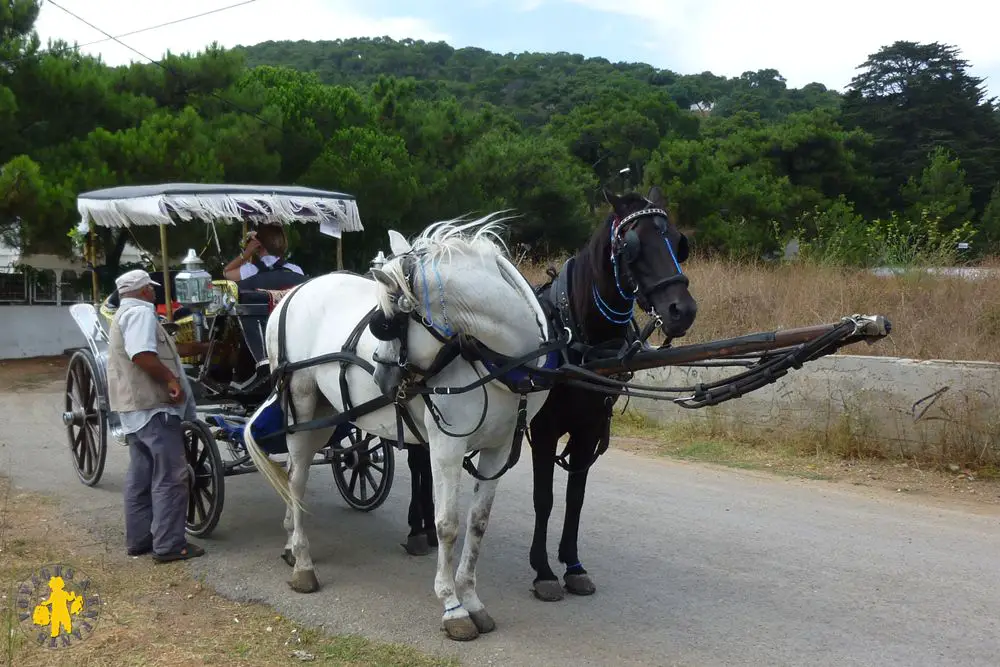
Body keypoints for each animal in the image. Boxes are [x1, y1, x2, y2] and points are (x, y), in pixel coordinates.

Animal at [243, 215, 556, 640]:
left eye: (386, 322)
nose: (381, 375)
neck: (497, 360)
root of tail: (292, 293)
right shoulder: (446, 447)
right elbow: (446, 524)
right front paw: (452, 605)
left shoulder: (499, 449)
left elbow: (477, 524)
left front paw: (472, 599)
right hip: (302, 406)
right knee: (296, 481)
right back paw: (304, 564)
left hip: (328, 414)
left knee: (295, 473)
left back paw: (292, 540)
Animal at [396, 187, 696, 604]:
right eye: (632, 244)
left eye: (677, 241)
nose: (682, 310)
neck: (579, 339)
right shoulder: (544, 431)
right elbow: (545, 498)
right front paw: (544, 571)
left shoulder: (588, 431)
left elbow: (575, 498)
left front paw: (573, 565)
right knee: (417, 462)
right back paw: (416, 528)